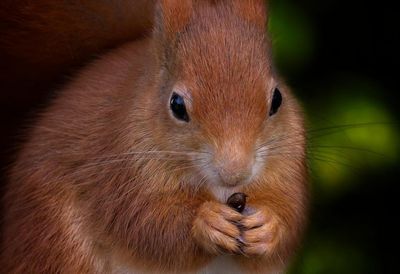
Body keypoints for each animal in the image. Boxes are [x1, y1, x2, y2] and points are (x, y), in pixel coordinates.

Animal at [0, 0, 308, 274]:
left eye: (277, 99)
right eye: (177, 105)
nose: (235, 173)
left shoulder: (289, 162)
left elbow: (291, 210)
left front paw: (269, 226)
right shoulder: (117, 166)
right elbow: (144, 223)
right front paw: (206, 221)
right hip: (57, 244)